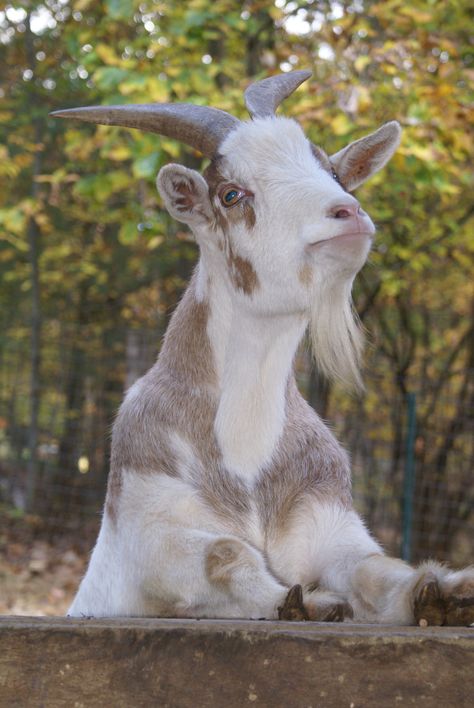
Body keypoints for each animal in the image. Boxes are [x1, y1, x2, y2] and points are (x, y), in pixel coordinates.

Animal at [52, 72, 474, 624]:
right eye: (232, 194)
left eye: (331, 170)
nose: (348, 213)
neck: (246, 454)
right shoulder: (147, 527)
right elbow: (226, 551)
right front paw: (300, 601)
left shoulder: (329, 523)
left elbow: (374, 566)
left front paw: (441, 591)